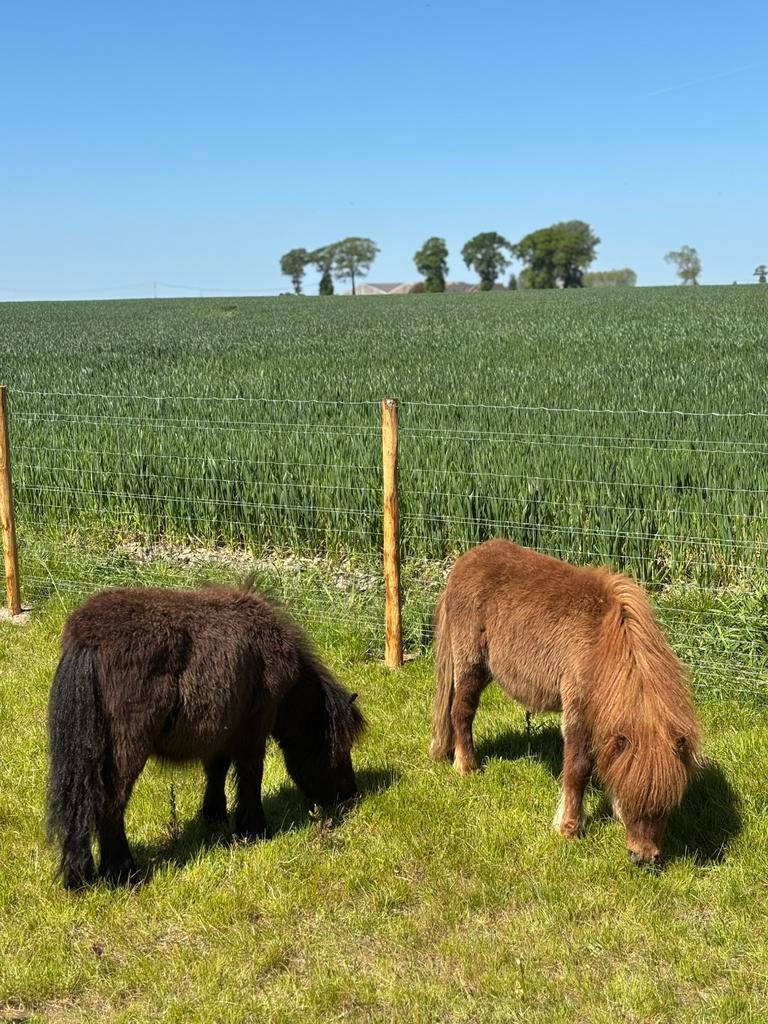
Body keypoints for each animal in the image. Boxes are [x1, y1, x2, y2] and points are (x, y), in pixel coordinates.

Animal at [47, 583, 365, 889]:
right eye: (340, 747)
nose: (350, 793)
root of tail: (88, 638)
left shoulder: (222, 731)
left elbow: (217, 770)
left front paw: (214, 816)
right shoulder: (253, 729)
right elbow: (250, 775)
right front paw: (255, 830)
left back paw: (81, 877)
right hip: (126, 750)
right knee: (110, 806)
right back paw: (122, 872)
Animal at [429, 539, 701, 865]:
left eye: (666, 805)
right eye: (633, 799)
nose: (643, 857)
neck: (603, 644)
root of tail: (465, 561)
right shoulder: (577, 714)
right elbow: (577, 769)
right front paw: (569, 828)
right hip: (471, 664)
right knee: (462, 712)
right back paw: (466, 766)